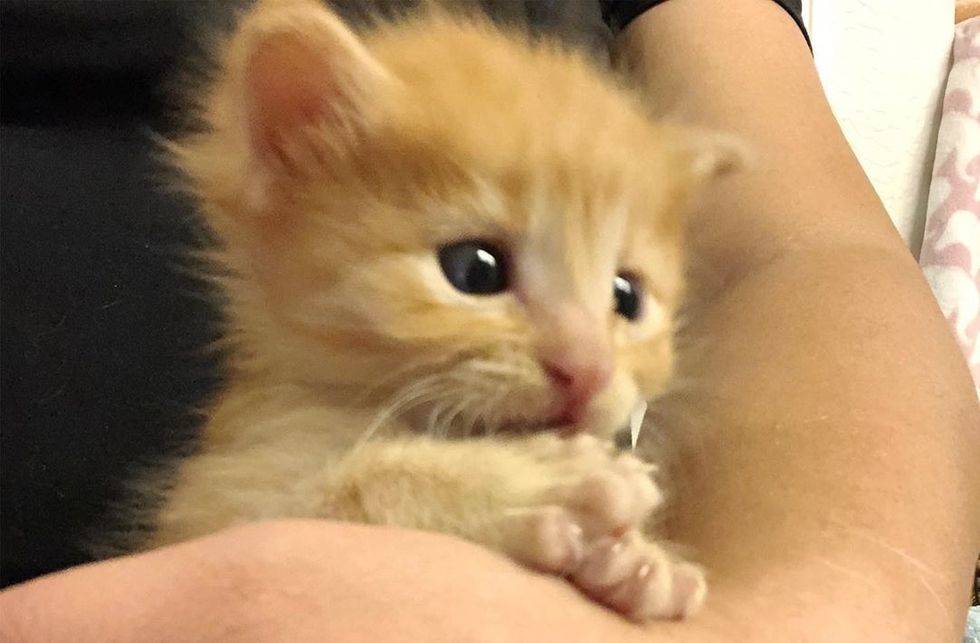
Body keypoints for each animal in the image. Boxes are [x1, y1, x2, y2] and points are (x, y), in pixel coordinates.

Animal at [139, 0, 736, 622]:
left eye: (628, 296)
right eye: (474, 270)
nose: (589, 368)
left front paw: (641, 563)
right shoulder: (210, 509)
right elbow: (338, 487)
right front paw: (530, 482)